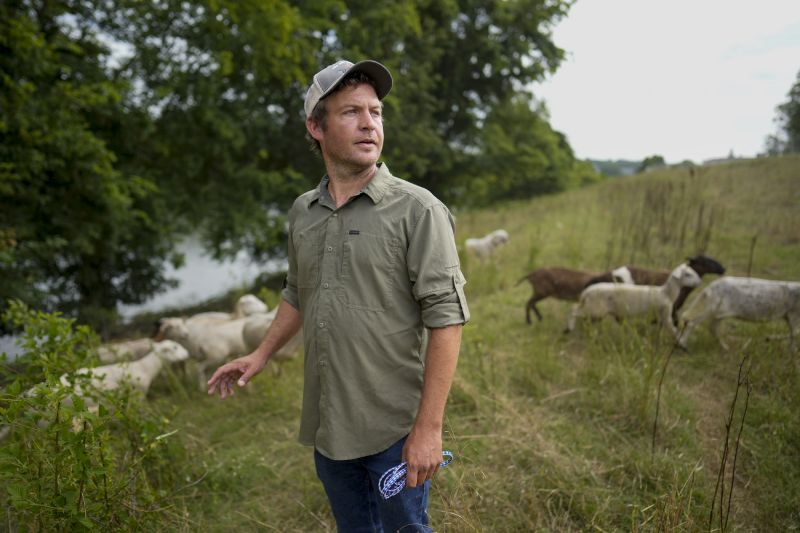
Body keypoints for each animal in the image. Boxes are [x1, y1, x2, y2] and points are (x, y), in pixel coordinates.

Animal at [564, 260, 700, 336]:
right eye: (688, 274)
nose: (699, 282)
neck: (666, 292)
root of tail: (587, 291)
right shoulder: (665, 314)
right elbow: (672, 328)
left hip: (593, 308)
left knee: (578, 311)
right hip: (595, 309)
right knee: (574, 310)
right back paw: (568, 329)